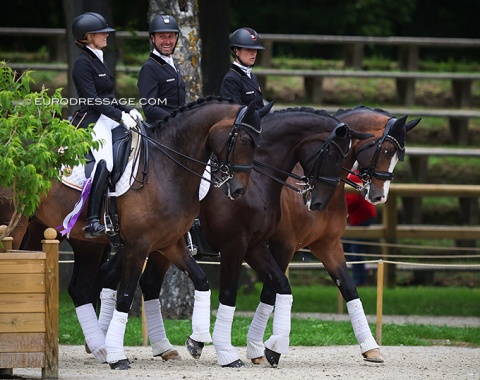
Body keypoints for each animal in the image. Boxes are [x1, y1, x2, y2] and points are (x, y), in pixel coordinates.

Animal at [5, 97, 272, 368]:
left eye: (258, 142)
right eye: (244, 140)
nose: (238, 190)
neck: (167, 169)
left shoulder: (169, 244)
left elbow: (201, 280)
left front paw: (198, 343)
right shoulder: (139, 245)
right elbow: (124, 295)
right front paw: (118, 357)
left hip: (70, 236)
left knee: (78, 288)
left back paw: (98, 348)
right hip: (20, 225)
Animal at [248, 105, 420, 364]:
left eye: (398, 156)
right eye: (387, 150)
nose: (379, 196)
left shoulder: (327, 244)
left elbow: (349, 288)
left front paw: (371, 348)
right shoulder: (282, 245)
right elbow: (271, 290)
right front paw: (265, 349)